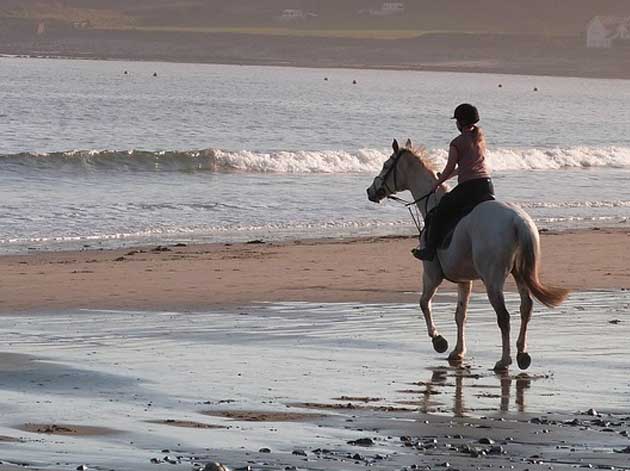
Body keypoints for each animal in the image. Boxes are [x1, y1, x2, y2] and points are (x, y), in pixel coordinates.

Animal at [368, 140, 572, 372]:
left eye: (386, 165)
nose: (370, 191)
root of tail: (517, 220)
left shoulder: (431, 274)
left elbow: (424, 303)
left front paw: (439, 341)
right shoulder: (464, 281)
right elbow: (460, 315)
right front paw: (457, 351)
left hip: (492, 280)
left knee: (504, 316)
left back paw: (504, 360)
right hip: (519, 273)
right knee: (525, 308)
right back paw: (522, 354)